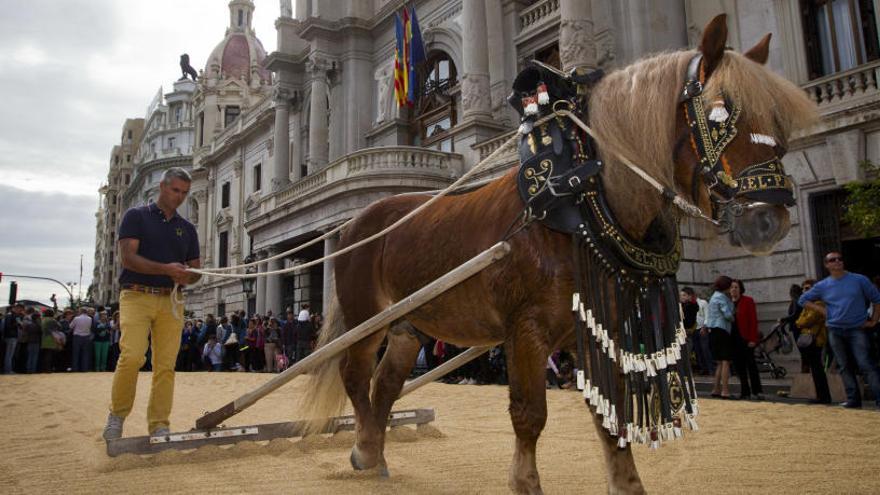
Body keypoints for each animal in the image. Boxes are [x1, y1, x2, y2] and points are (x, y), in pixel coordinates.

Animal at [300, 15, 816, 495]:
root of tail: (355, 223)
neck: (579, 196)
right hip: (367, 319)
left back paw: (376, 451)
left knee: (385, 384)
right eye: (718, 114)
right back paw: (366, 449)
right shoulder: (525, 330)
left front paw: (626, 482)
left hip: (409, 326)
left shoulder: (601, 326)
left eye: (779, 118)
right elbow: (529, 413)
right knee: (355, 375)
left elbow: (611, 414)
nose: (768, 219)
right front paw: (525, 481)